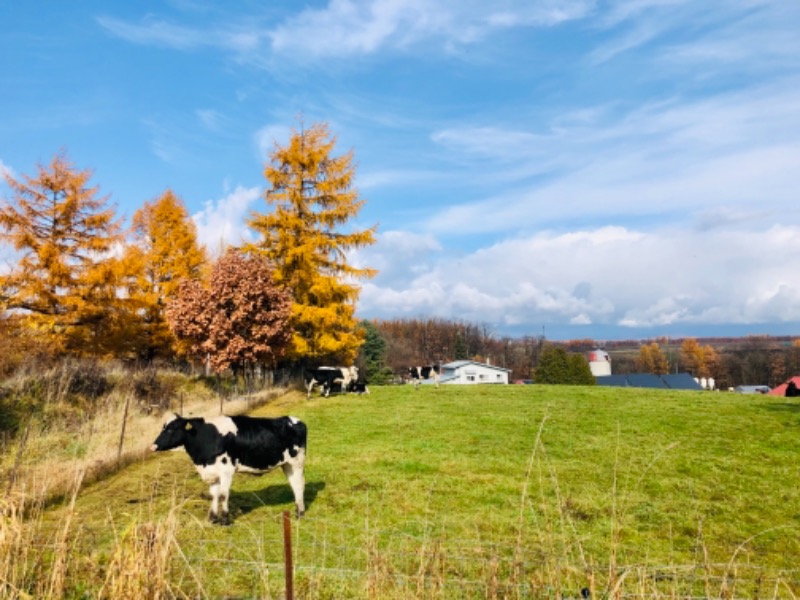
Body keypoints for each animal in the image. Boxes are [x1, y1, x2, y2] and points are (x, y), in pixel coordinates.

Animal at [149, 412, 306, 524]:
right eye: (163, 427)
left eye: (172, 429)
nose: (153, 446)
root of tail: (293, 419)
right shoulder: (212, 471)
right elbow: (214, 494)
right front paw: (212, 518)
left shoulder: (226, 470)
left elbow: (224, 495)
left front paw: (224, 520)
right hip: (287, 464)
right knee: (294, 485)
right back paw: (297, 510)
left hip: (296, 462)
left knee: (299, 485)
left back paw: (300, 513)